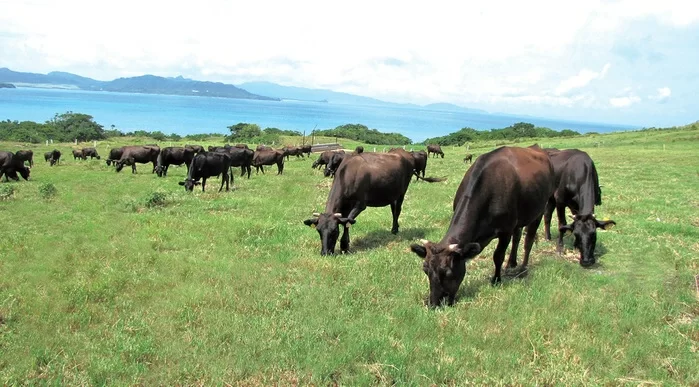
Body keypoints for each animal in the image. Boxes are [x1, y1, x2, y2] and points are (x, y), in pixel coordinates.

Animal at [304, 148, 446, 255]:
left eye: (334, 231)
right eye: (318, 230)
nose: (325, 253)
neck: (348, 174)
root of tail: (404, 152)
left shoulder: (360, 204)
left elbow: (348, 222)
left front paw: (344, 245)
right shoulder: (345, 206)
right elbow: (345, 221)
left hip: (402, 192)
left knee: (398, 210)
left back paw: (395, 230)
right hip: (391, 193)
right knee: (393, 210)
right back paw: (394, 228)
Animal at [408, 146, 556, 310]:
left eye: (448, 273)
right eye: (425, 270)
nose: (434, 304)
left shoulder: (506, 230)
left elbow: (498, 256)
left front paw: (496, 280)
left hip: (539, 210)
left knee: (528, 240)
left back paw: (523, 268)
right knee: (517, 237)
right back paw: (511, 263)